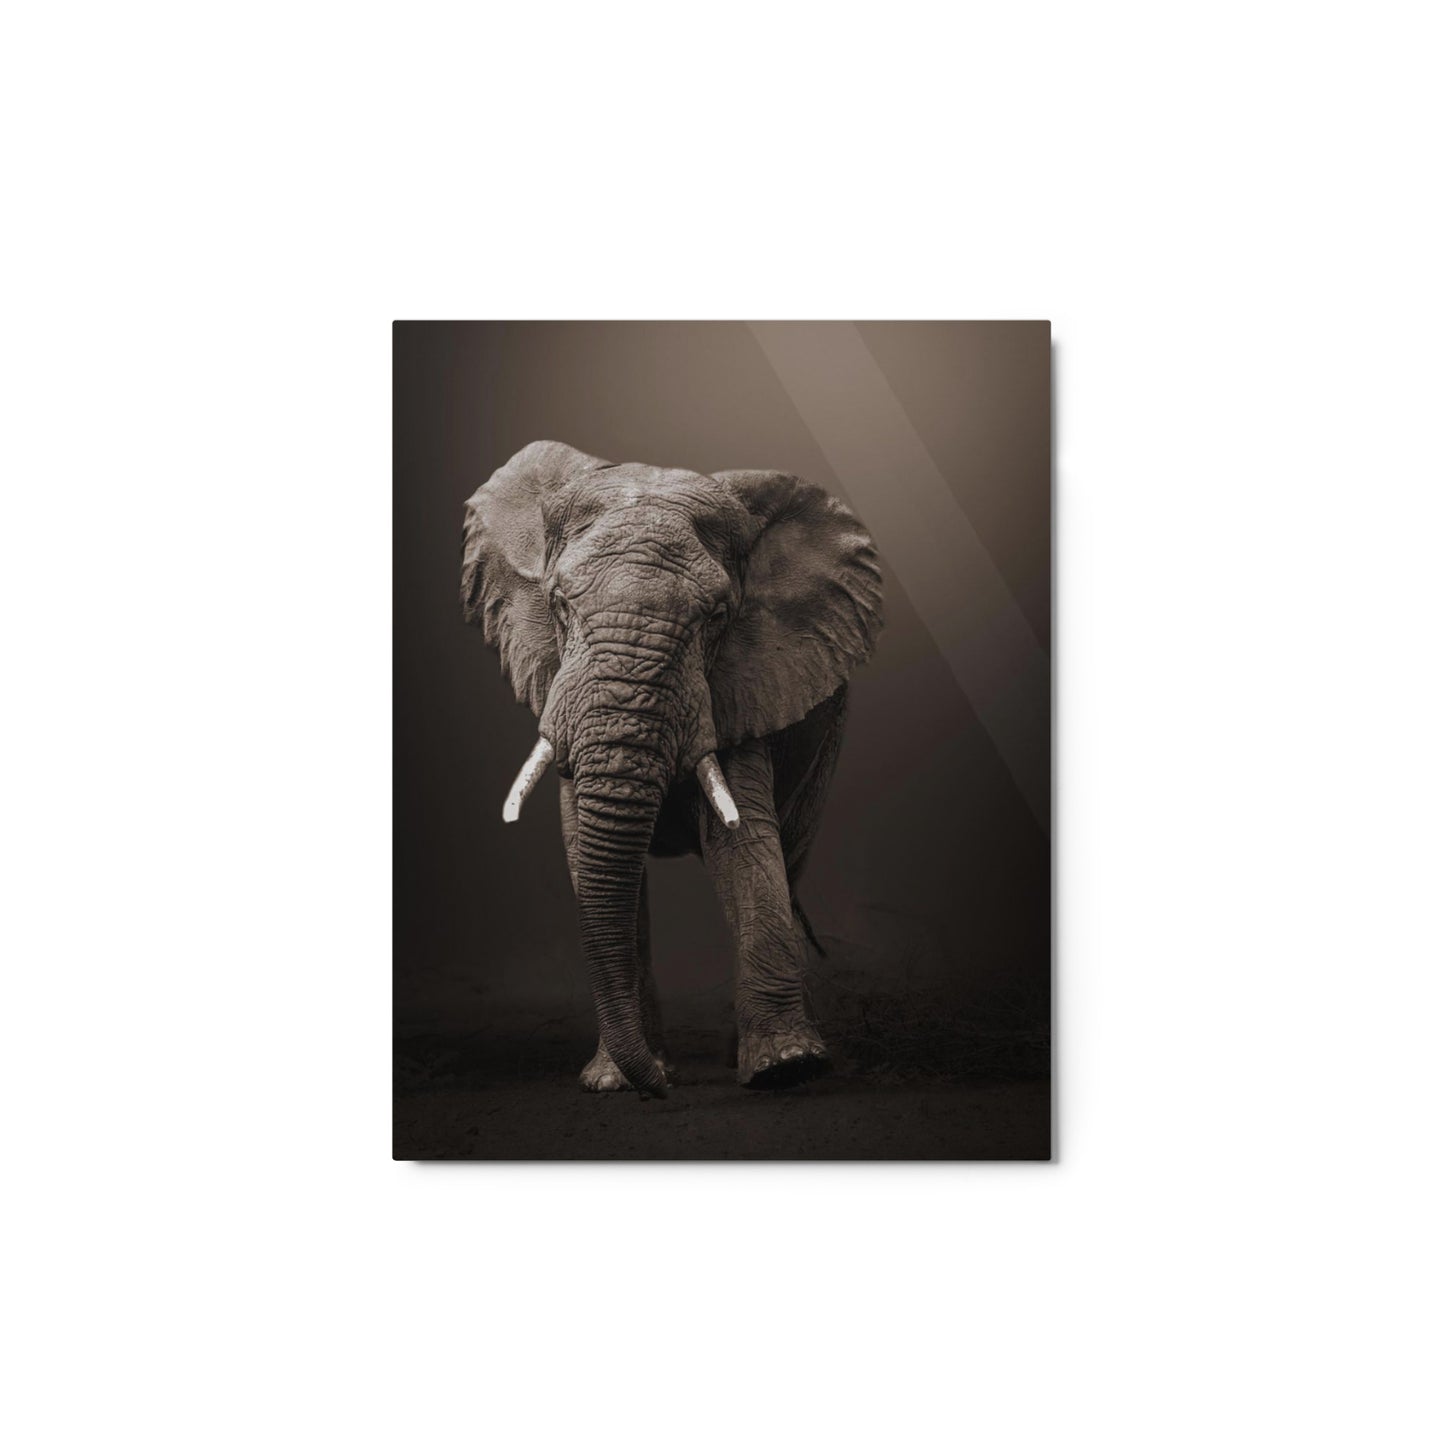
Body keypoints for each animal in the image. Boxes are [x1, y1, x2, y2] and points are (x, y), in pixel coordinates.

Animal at [461, 441, 884, 1097]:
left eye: (716, 615)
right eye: (558, 603)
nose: (662, 1092)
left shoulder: (742, 685)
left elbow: (745, 848)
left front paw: (785, 1069)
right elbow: (586, 850)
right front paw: (614, 1083)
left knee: (788, 857)